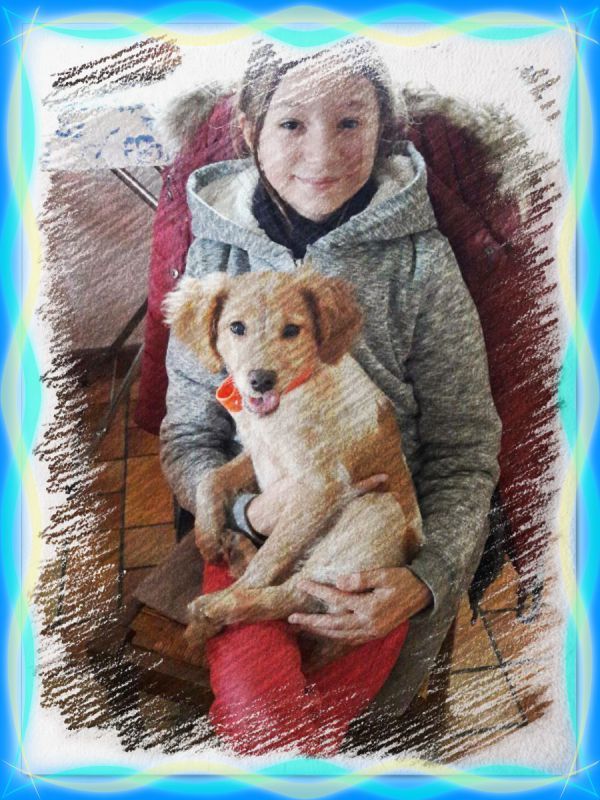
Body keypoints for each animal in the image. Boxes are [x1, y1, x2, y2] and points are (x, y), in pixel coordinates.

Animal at [164, 268, 422, 663]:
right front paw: (206, 535)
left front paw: (214, 609)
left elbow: (269, 559)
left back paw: (211, 611)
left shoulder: (320, 487)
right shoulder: (257, 455)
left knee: (292, 595)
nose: (260, 380)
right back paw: (235, 551)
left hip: (374, 510)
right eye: (236, 327)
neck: (288, 403)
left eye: (291, 330)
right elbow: (212, 478)